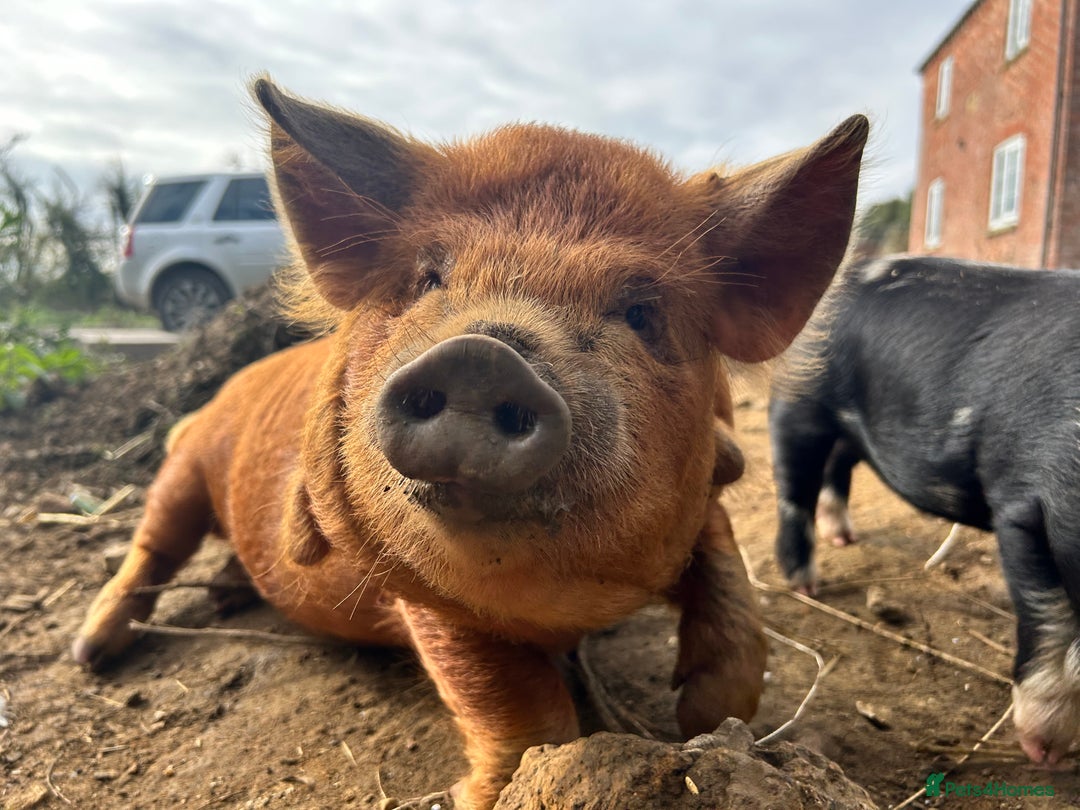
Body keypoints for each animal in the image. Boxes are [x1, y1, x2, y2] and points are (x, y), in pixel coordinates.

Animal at [73, 78, 868, 808]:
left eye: (642, 312)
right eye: (430, 278)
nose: (484, 356)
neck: (565, 598)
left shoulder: (711, 487)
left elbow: (732, 599)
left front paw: (705, 722)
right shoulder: (420, 590)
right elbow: (515, 696)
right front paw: (499, 787)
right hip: (183, 468)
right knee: (152, 546)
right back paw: (91, 653)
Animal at [769, 254, 1080, 767]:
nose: (1047, 757)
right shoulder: (1024, 507)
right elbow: (1052, 619)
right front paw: (1045, 753)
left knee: (838, 463)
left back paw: (845, 538)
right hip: (799, 399)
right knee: (795, 485)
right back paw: (806, 585)